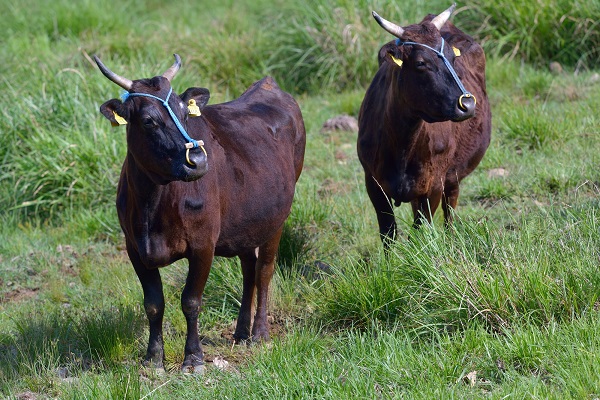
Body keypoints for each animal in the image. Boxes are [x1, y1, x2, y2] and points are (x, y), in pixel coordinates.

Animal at [96, 54, 310, 374]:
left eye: (186, 114)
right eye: (148, 121)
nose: (196, 160)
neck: (152, 206)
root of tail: (268, 85)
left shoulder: (203, 244)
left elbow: (191, 301)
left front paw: (194, 358)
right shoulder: (134, 247)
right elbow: (153, 303)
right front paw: (153, 357)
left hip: (277, 219)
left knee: (264, 270)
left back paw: (259, 333)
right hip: (246, 222)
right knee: (249, 268)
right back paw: (241, 331)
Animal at [356, 4, 492, 245]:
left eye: (452, 57)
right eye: (421, 63)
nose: (467, 104)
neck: (402, 143)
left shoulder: (433, 185)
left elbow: (420, 231)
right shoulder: (373, 182)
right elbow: (388, 232)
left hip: (452, 176)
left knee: (450, 210)